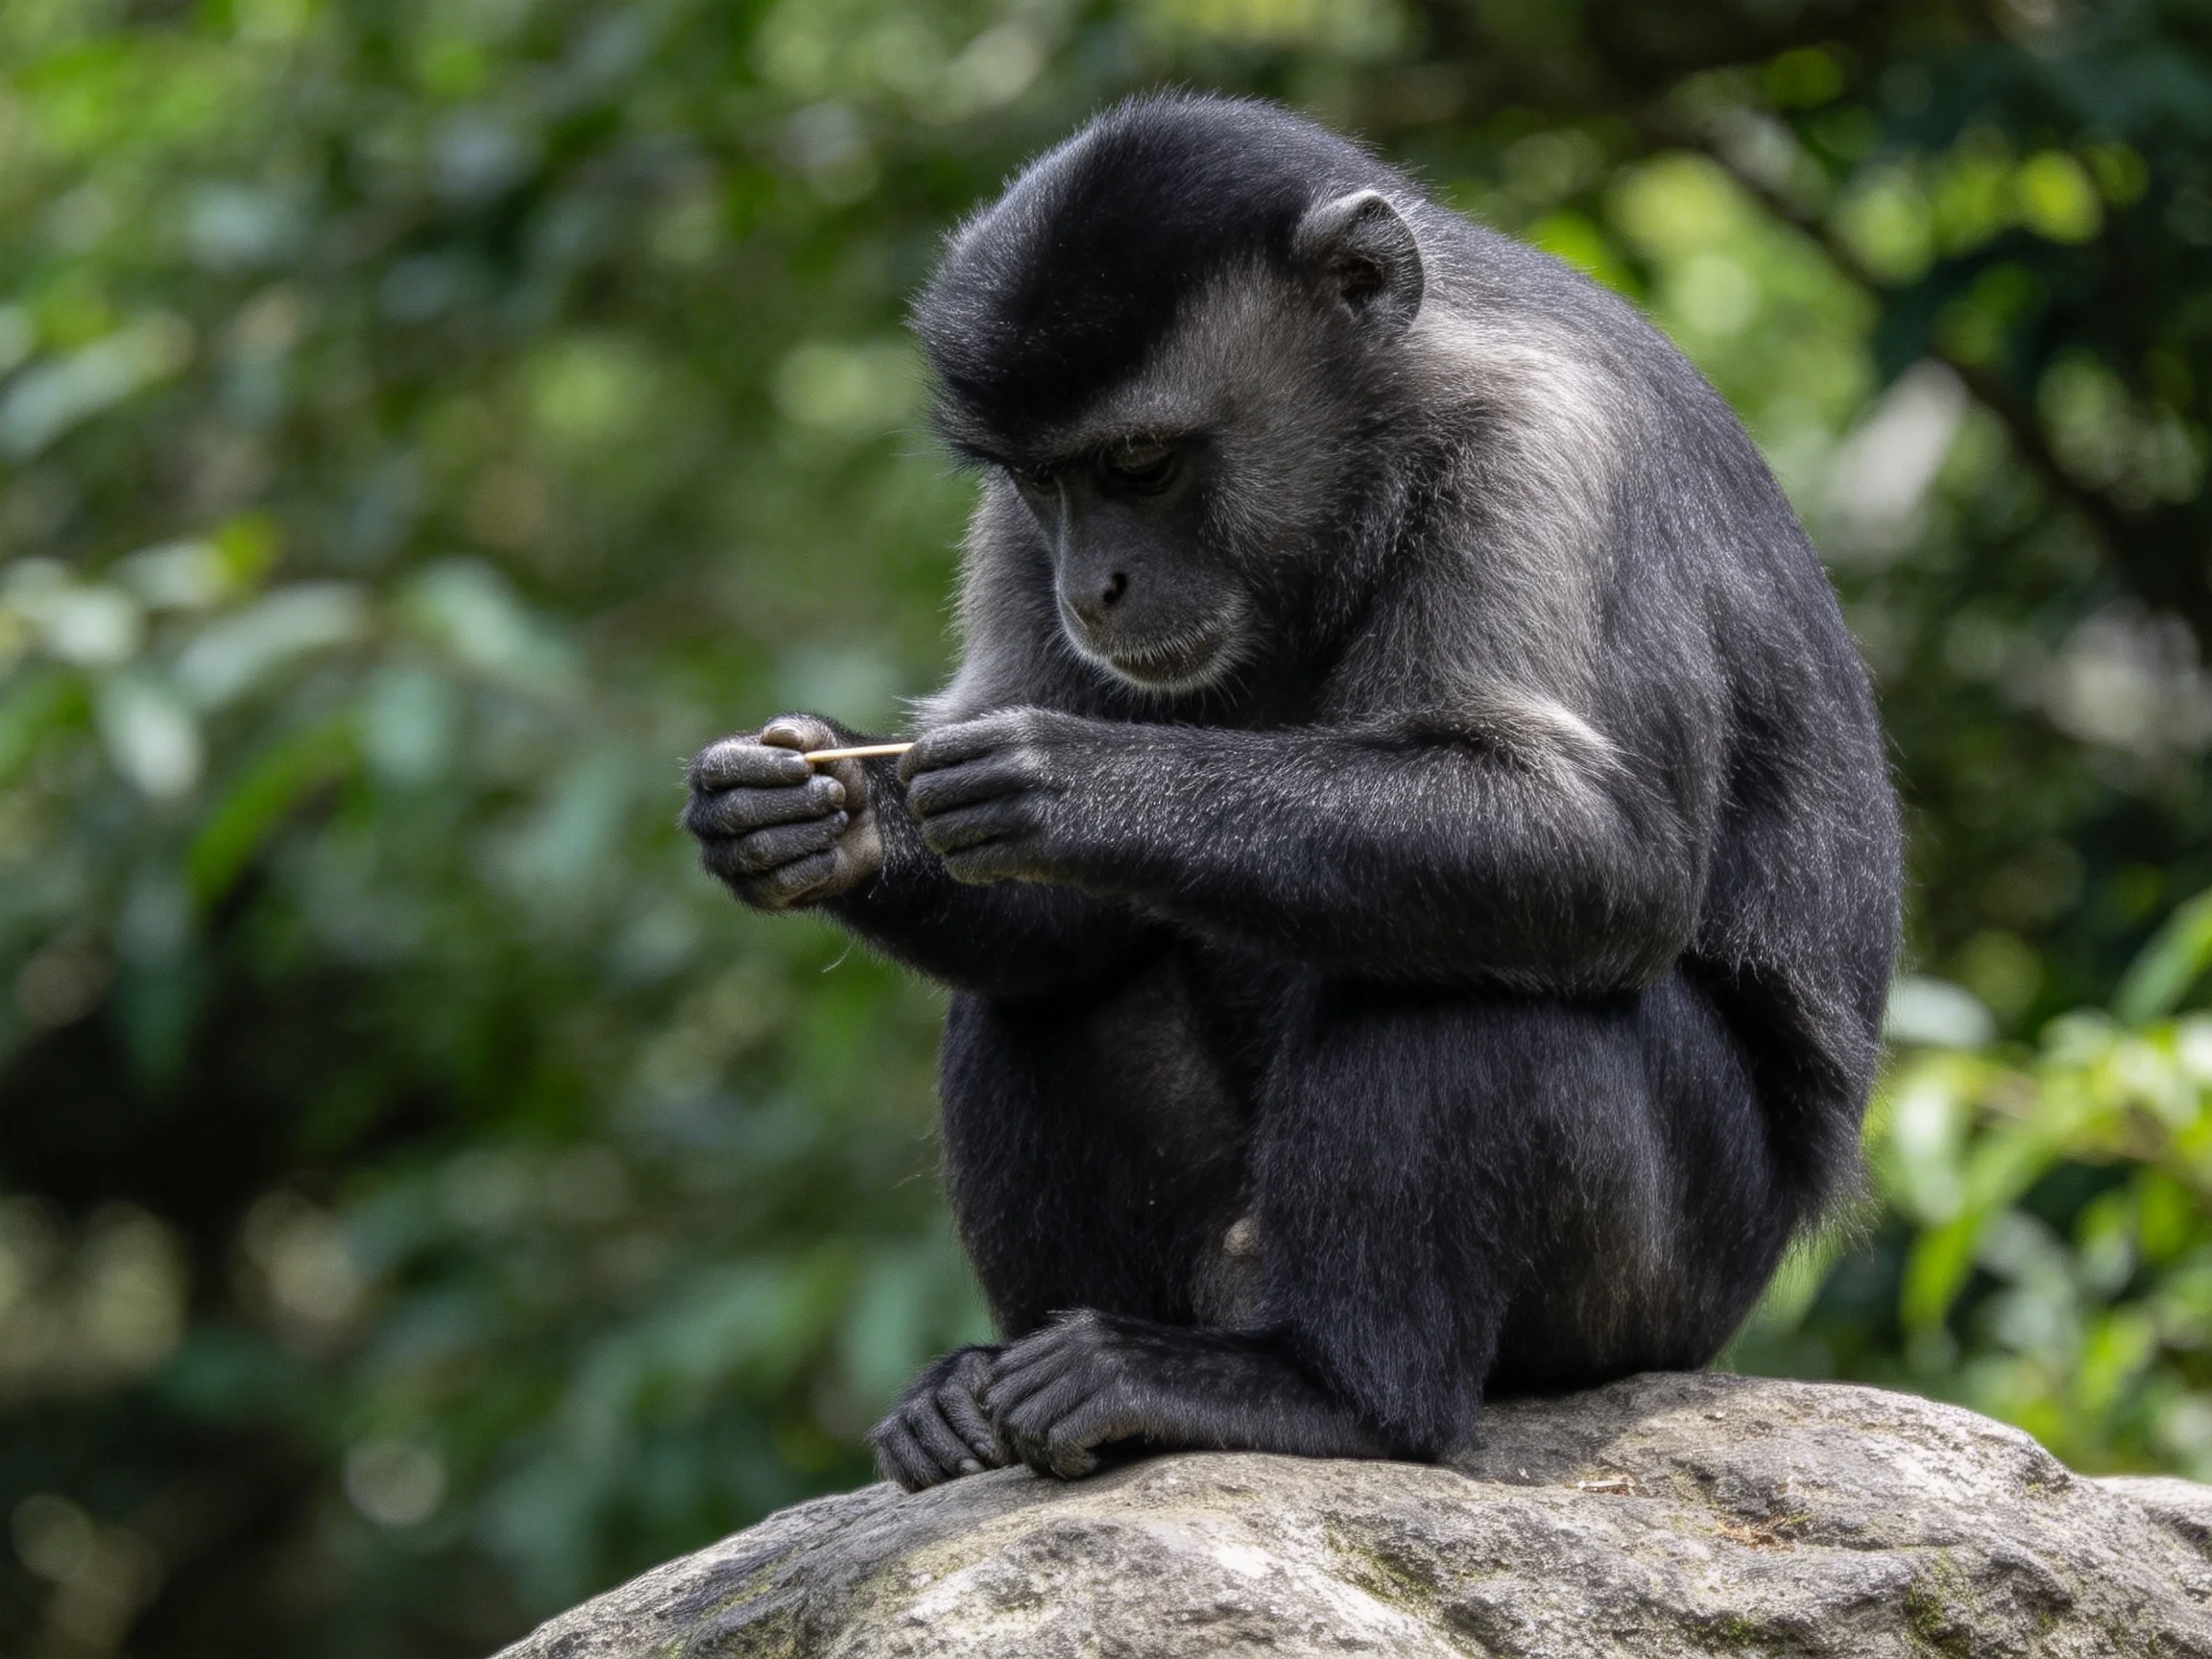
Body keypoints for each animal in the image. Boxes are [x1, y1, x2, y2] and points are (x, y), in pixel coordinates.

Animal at [682, 94, 1901, 1492]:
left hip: (1668, 1287)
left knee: (1462, 976)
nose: (1091, 585)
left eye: (1142, 464)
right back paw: (1000, 1393)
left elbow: (1600, 856)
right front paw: (828, 820)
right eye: (1050, 483)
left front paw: (1072, 780)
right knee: (1057, 991)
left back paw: (1341, 1397)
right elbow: (1053, 924)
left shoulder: (1547, 443)